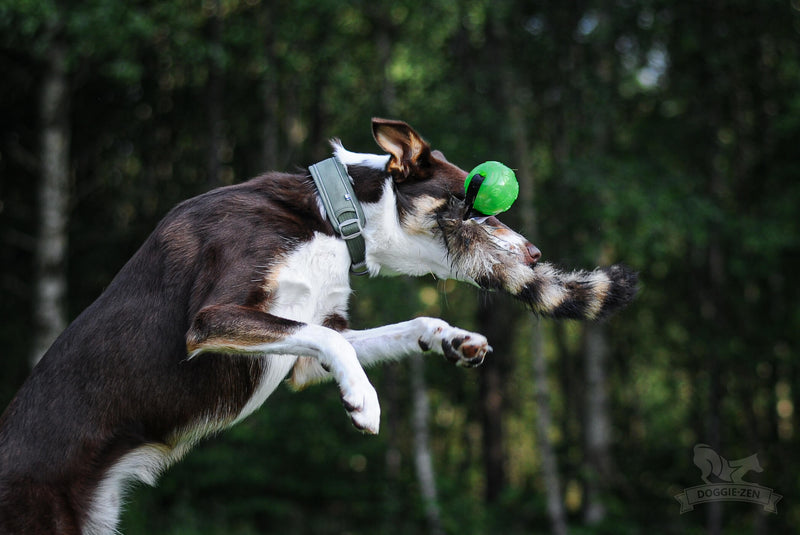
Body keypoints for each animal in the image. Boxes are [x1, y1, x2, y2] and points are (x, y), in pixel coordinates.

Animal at [0, 119, 636, 532]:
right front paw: (364, 402)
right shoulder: (213, 320)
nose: (533, 256)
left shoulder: (304, 356)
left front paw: (454, 340)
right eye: (475, 204)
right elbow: (333, 342)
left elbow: (396, 325)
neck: (334, 217)